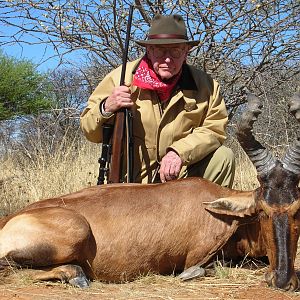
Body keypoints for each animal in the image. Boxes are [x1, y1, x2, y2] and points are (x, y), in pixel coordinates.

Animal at [0, 92, 298, 290]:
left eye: (297, 211)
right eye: (263, 211)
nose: (283, 281)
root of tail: (8, 221)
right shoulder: (198, 258)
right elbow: (204, 269)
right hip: (74, 231)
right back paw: (77, 275)